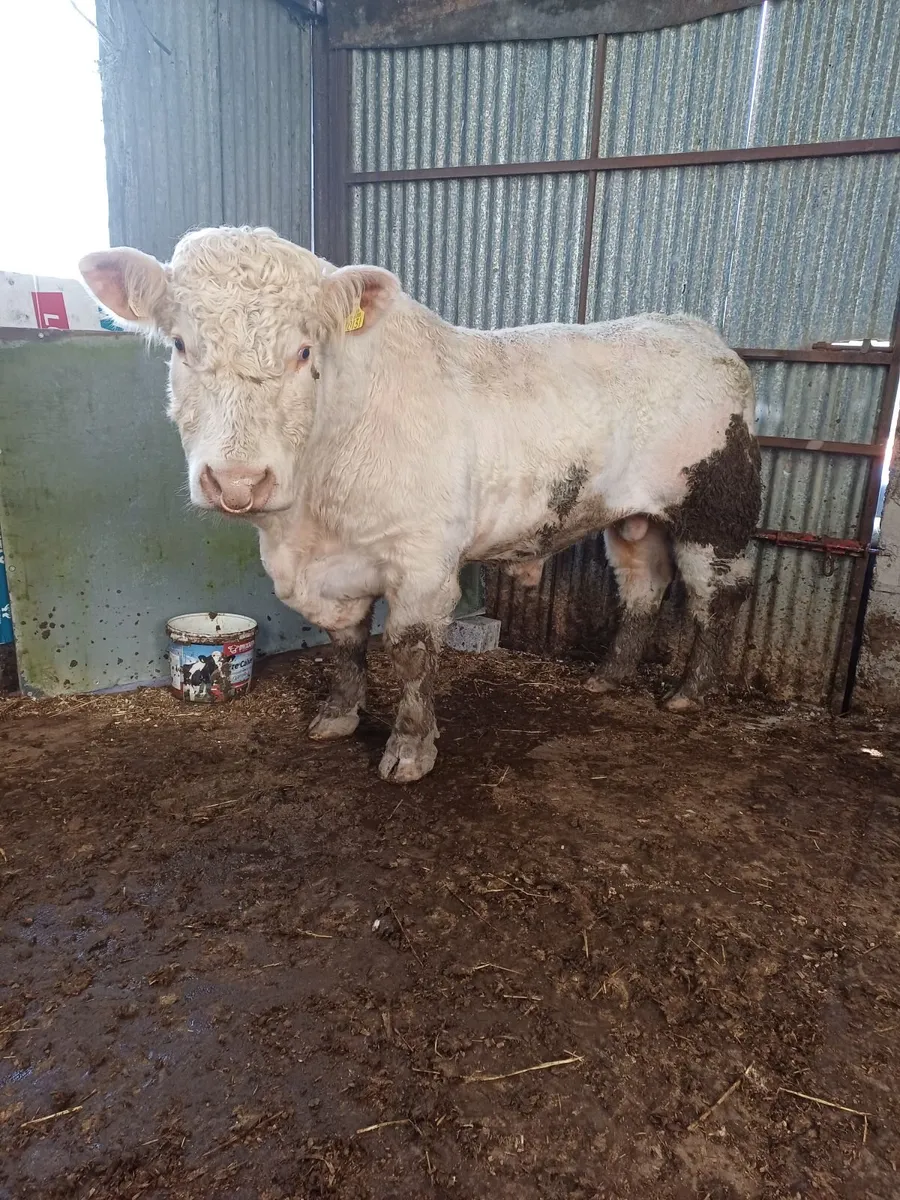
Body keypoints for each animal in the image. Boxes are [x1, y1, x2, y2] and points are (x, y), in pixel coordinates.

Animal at [80, 226, 761, 783]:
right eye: (180, 345)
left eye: (304, 352)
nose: (239, 479)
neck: (309, 522)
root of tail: (694, 331)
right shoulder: (331, 573)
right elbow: (346, 641)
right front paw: (339, 716)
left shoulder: (423, 559)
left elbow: (409, 652)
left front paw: (409, 751)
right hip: (633, 518)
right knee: (643, 584)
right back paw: (609, 676)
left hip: (716, 514)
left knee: (717, 595)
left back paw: (690, 691)